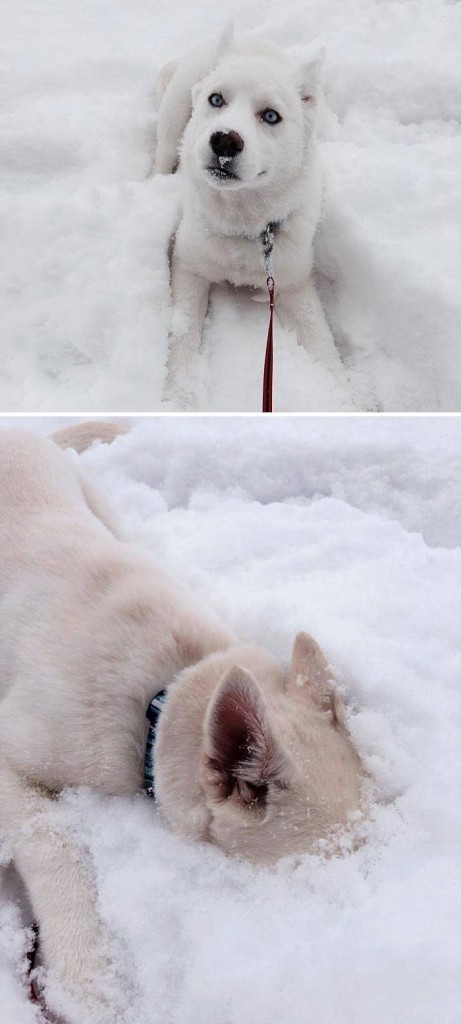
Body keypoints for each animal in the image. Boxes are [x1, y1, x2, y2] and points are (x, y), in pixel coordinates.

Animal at [154, 29, 346, 403]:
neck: (243, 225)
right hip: (173, 119)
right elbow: (183, 337)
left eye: (271, 116)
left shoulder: (293, 282)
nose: (225, 141)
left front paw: (351, 398)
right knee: (161, 156)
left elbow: (323, 345)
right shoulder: (189, 267)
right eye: (217, 100)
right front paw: (180, 397)